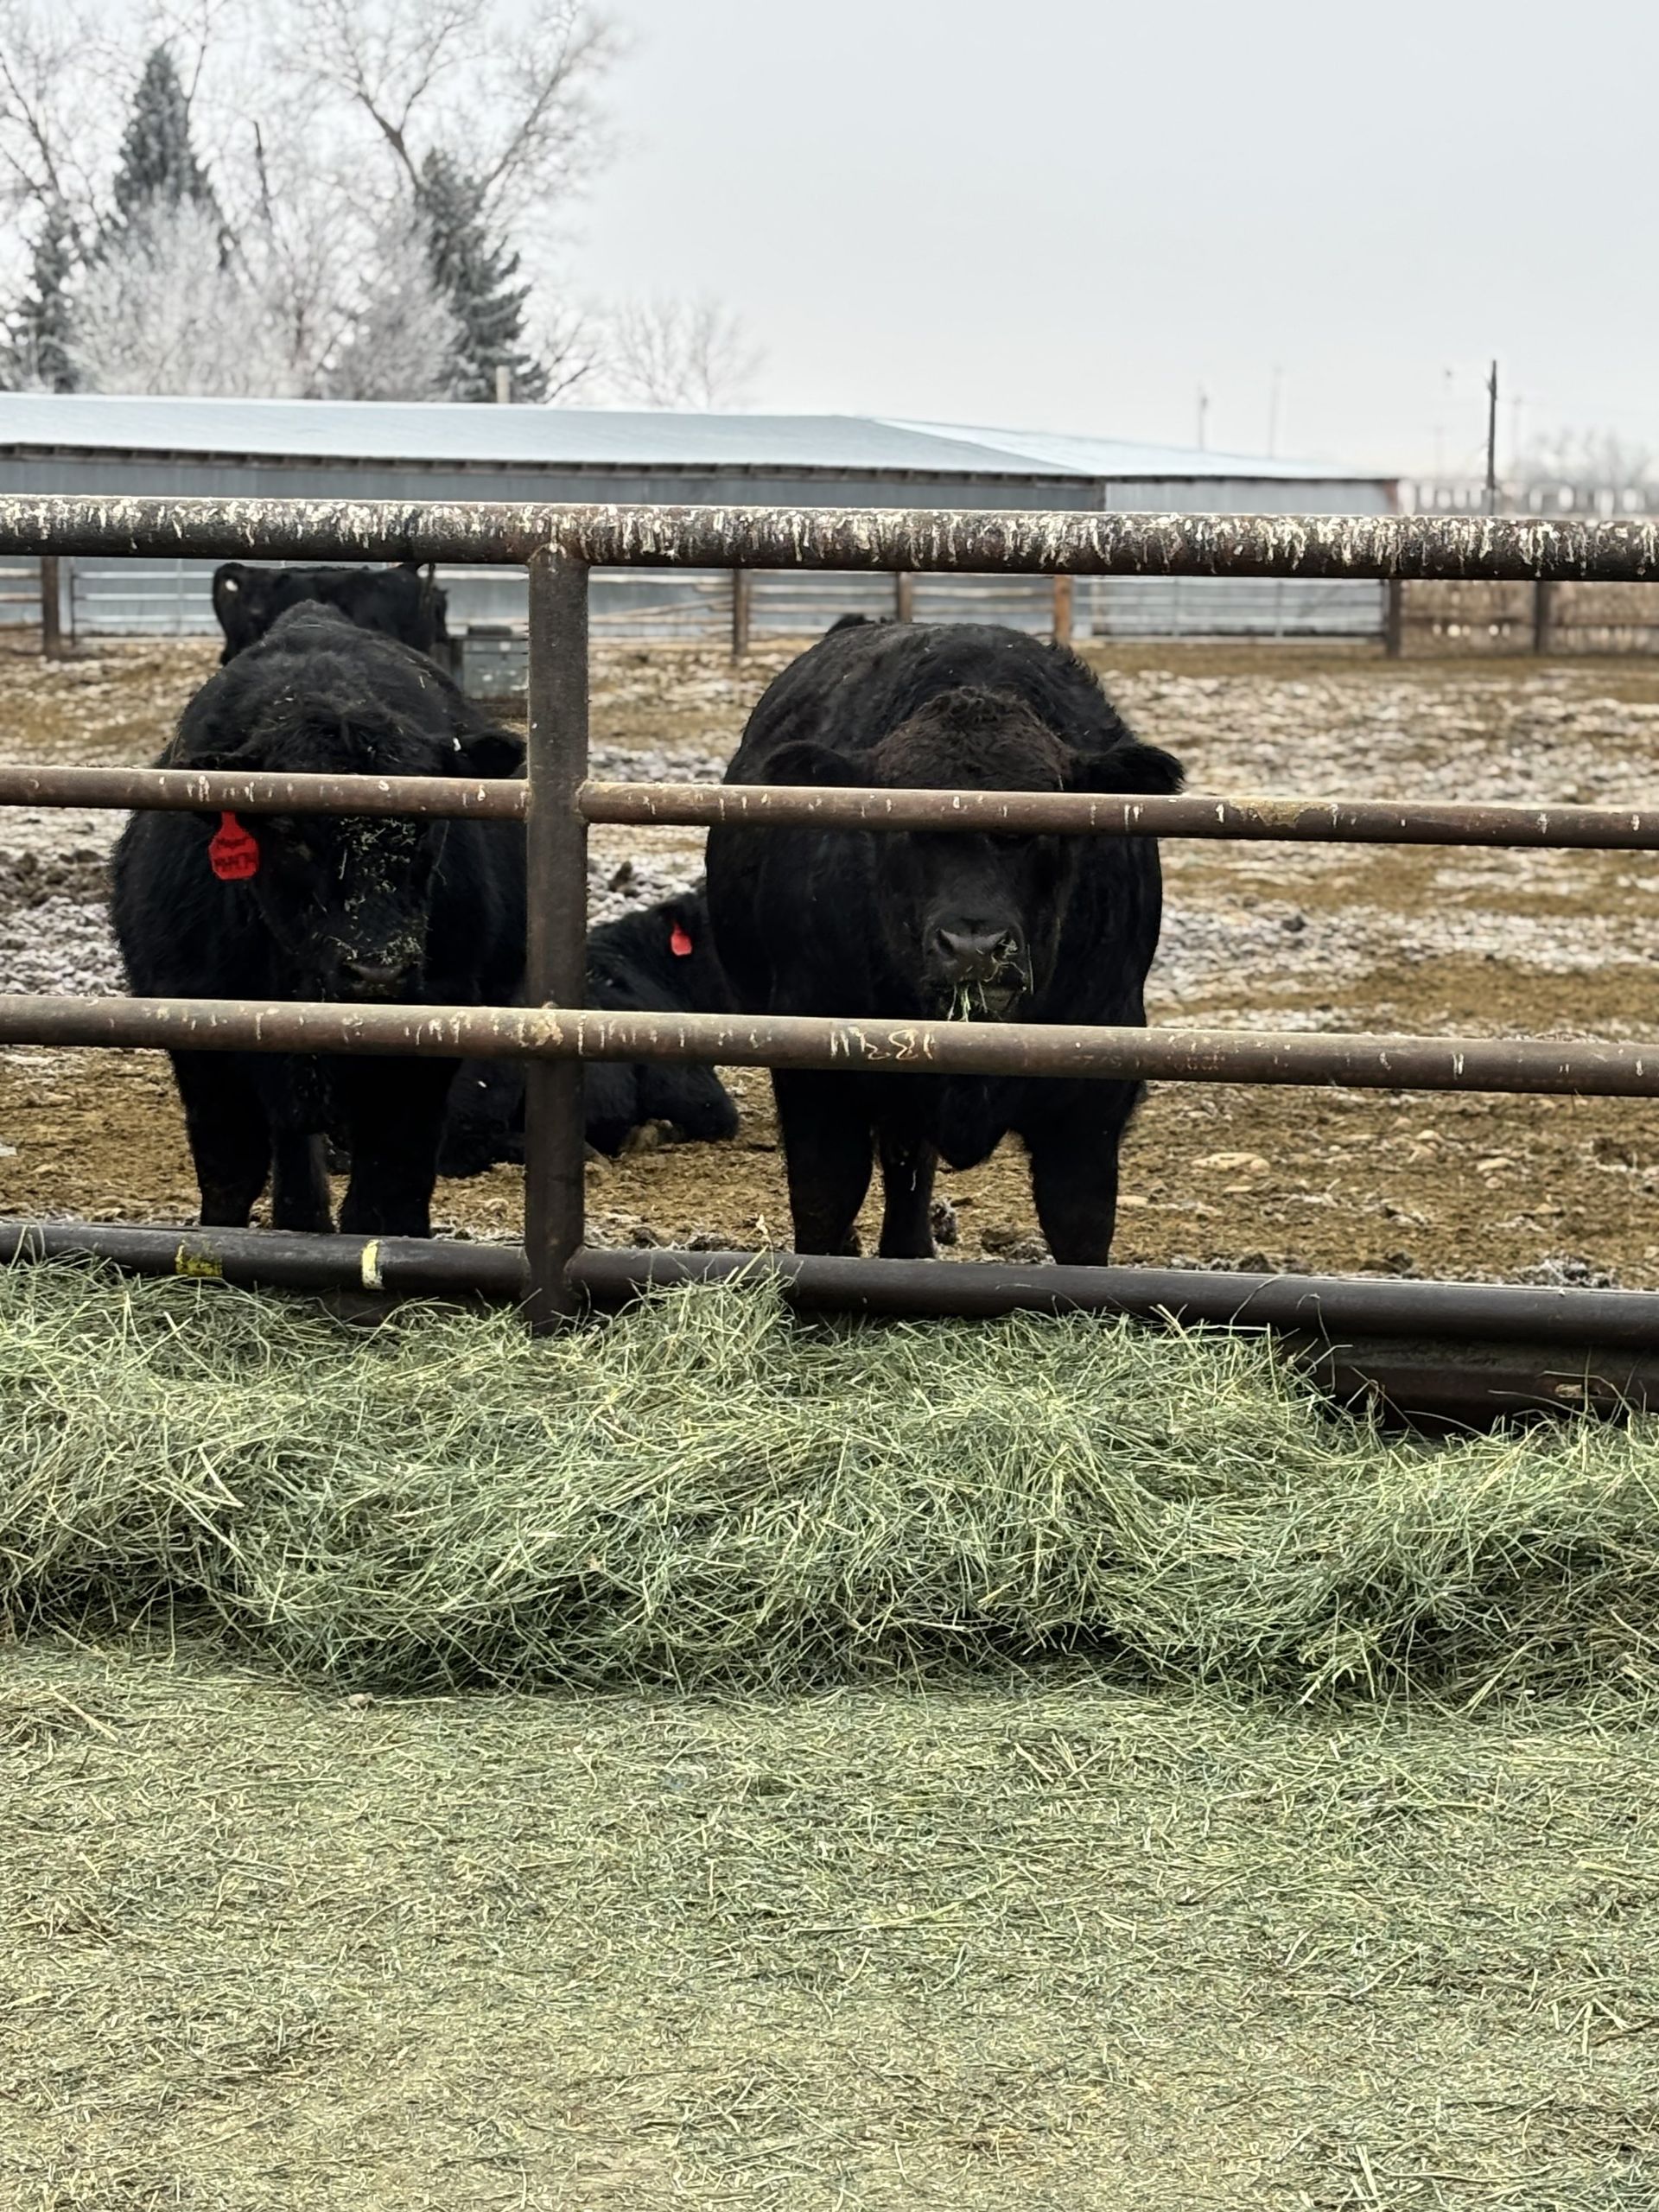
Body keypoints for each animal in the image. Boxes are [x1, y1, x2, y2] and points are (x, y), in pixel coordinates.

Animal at [111, 604, 525, 1239]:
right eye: (288, 832)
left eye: (430, 825)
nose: (378, 972)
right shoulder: (199, 1038)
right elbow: (230, 1176)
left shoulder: (431, 1040)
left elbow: (387, 1194)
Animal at [703, 616, 1184, 1264]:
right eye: (901, 823)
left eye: (1045, 828)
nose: (974, 948)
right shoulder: (816, 1073)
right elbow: (825, 1202)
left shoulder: (1093, 1098)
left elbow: (1080, 1224)